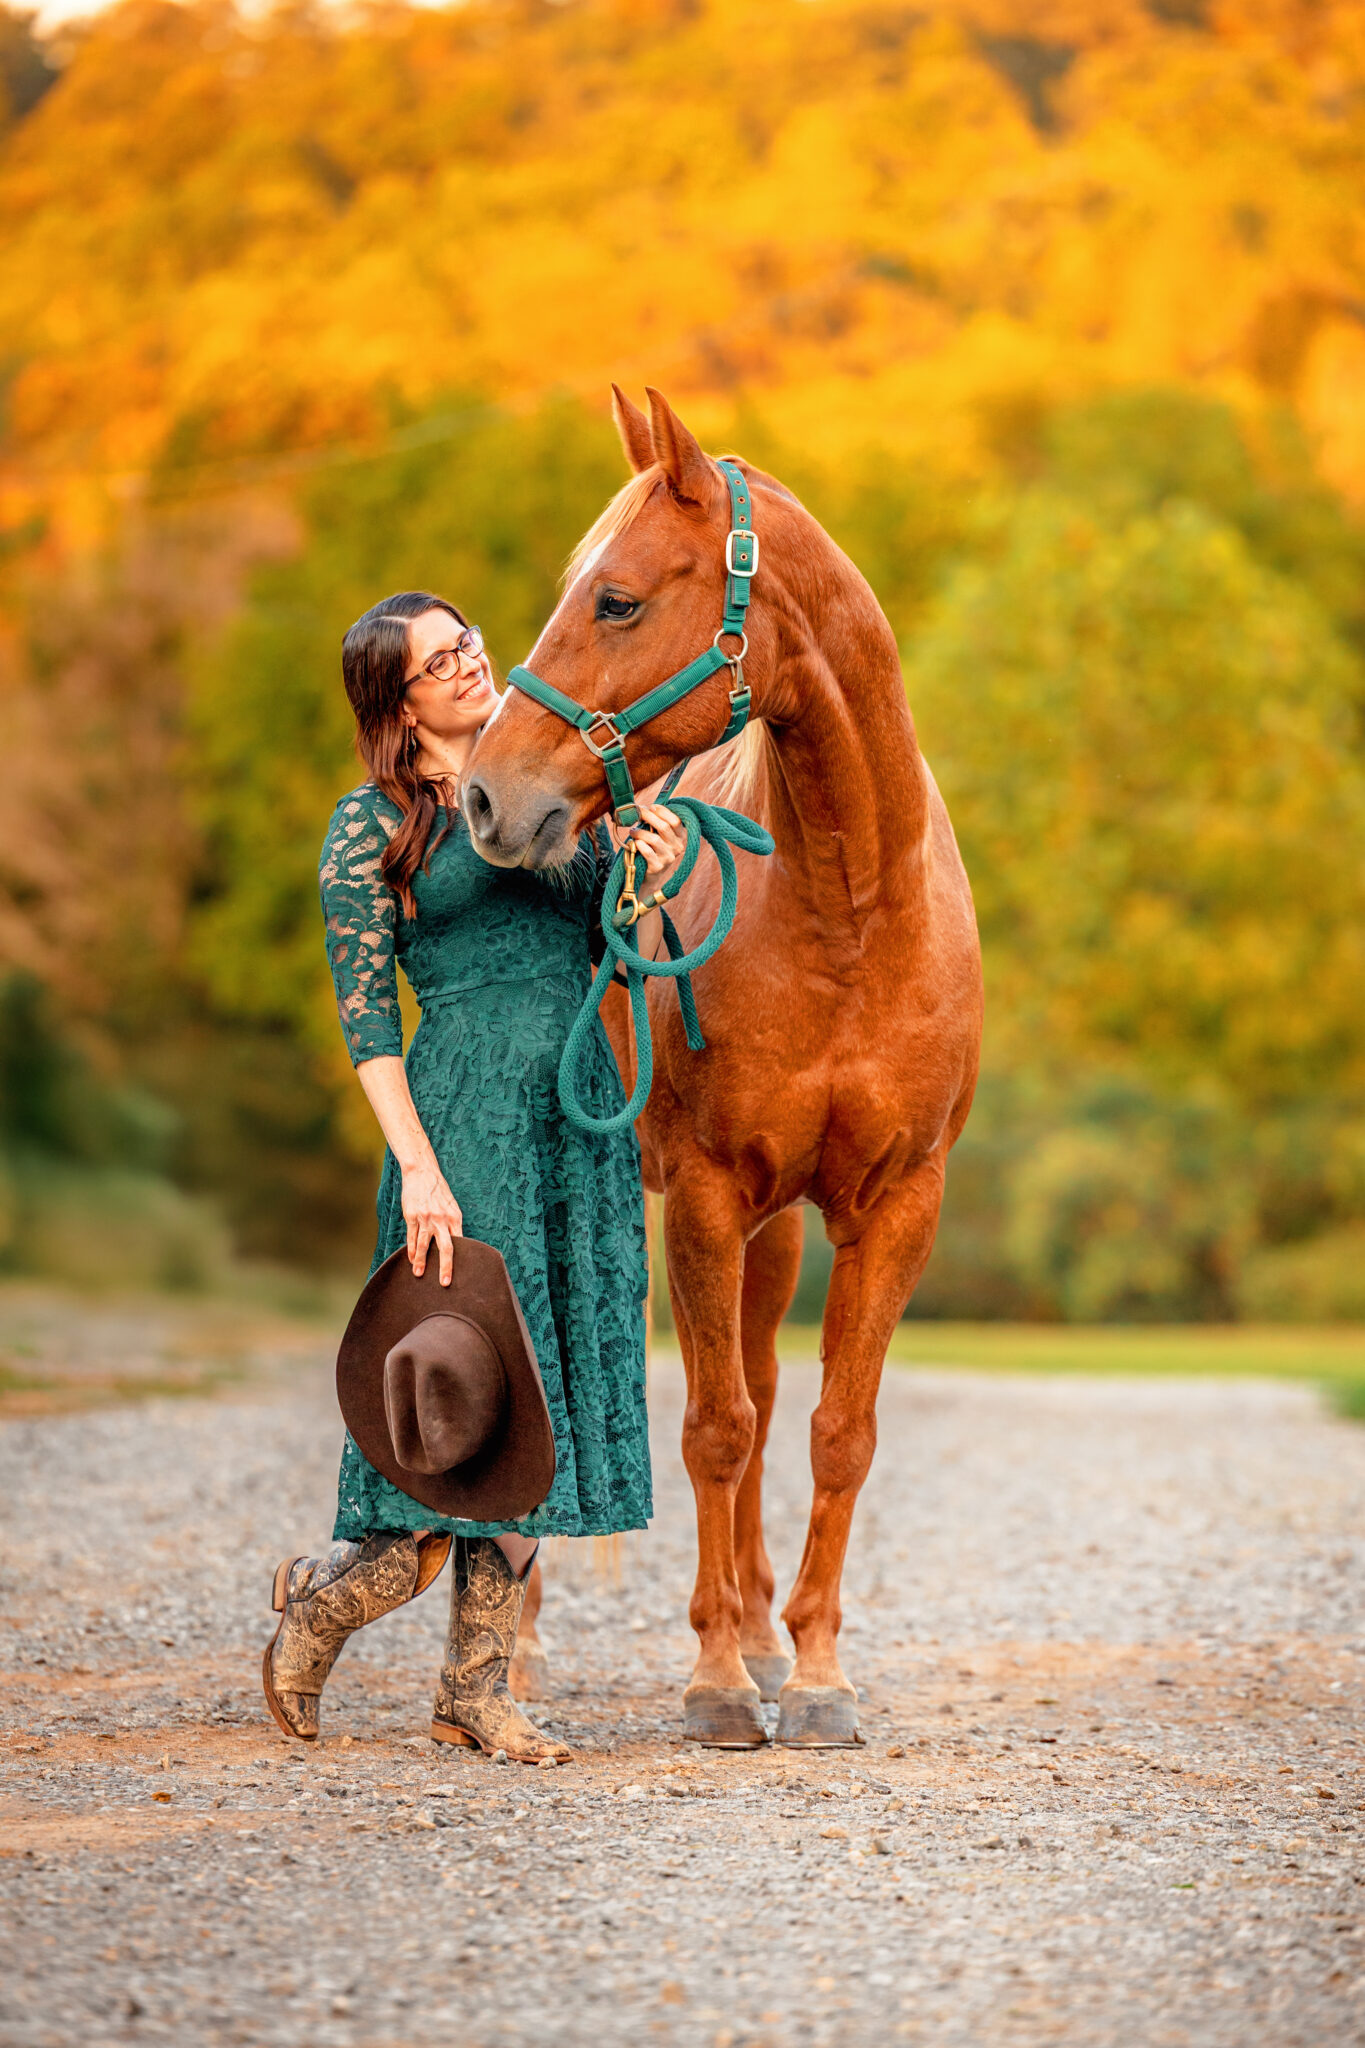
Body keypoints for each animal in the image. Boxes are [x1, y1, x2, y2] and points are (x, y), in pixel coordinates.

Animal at [464, 387, 982, 1747]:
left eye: (618, 599)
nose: (486, 796)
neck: (853, 913)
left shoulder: (893, 1206)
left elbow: (832, 1429)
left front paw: (810, 1671)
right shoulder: (700, 1190)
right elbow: (712, 1428)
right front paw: (710, 1682)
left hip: (776, 1231)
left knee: (754, 1375)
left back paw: (753, 1628)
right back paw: (524, 1653)